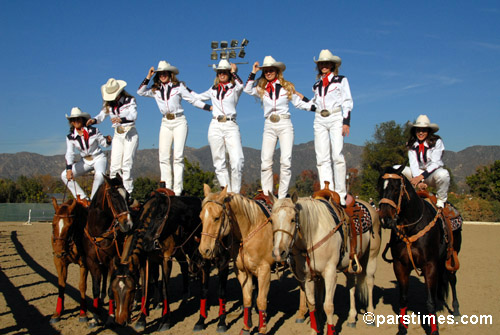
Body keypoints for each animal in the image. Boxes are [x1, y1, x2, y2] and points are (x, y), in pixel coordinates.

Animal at [80, 175, 131, 330]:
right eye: (114, 196)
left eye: (128, 196)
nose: (128, 223)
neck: (98, 231)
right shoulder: (92, 261)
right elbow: (95, 289)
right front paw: (95, 317)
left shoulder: (112, 261)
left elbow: (110, 289)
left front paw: (110, 318)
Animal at [110, 189, 231, 334]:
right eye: (113, 290)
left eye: (131, 291)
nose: (120, 321)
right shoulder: (146, 261)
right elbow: (145, 287)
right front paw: (141, 320)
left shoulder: (166, 259)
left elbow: (164, 289)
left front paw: (165, 321)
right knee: (185, 268)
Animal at [198, 185, 274, 334]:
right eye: (201, 217)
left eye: (217, 218)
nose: (204, 250)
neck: (250, 230)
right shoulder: (243, 271)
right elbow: (247, 299)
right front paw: (246, 328)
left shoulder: (265, 270)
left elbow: (261, 300)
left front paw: (262, 330)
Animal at [272, 192, 380, 335]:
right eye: (271, 220)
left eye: (292, 219)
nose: (278, 252)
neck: (314, 232)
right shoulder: (307, 276)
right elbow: (311, 303)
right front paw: (314, 330)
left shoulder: (330, 273)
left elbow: (328, 306)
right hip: (348, 265)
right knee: (351, 285)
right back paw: (352, 318)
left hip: (372, 257)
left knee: (369, 282)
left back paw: (371, 316)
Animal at [376, 166, 462, 335]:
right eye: (380, 187)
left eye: (395, 188)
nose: (385, 219)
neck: (412, 227)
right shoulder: (400, 265)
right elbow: (403, 299)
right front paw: (402, 328)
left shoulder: (430, 265)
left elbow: (430, 302)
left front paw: (434, 330)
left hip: (451, 257)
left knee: (452, 279)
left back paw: (455, 311)